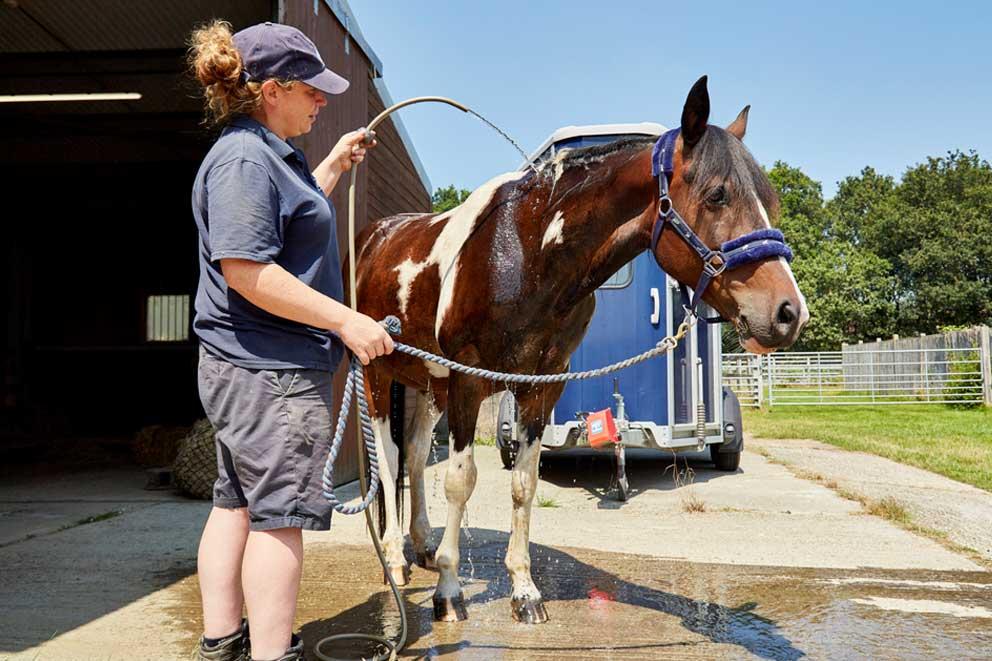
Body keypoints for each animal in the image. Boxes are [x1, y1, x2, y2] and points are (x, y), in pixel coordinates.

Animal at [348, 77, 808, 624]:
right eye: (718, 194)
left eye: (768, 200)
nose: (789, 312)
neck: (525, 252)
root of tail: (374, 239)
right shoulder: (467, 378)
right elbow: (461, 479)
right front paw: (449, 591)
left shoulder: (540, 384)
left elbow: (524, 484)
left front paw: (524, 592)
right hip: (381, 373)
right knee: (391, 456)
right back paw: (396, 558)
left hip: (427, 383)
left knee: (417, 456)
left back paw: (421, 544)